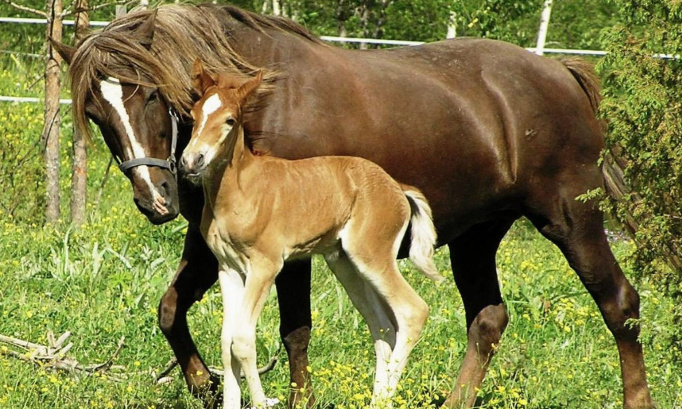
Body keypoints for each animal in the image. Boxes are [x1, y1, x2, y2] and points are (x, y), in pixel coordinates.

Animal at [178, 61, 440, 408]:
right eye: (193, 115)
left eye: (230, 120)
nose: (191, 160)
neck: (239, 190)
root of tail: (397, 186)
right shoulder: (228, 268)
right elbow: (226, 342)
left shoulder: (266, 265)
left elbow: (242, 339)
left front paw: (262, 401)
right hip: (345, 262)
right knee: (383, 326)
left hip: (372, 255)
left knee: (412, 311)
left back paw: (382, 399)